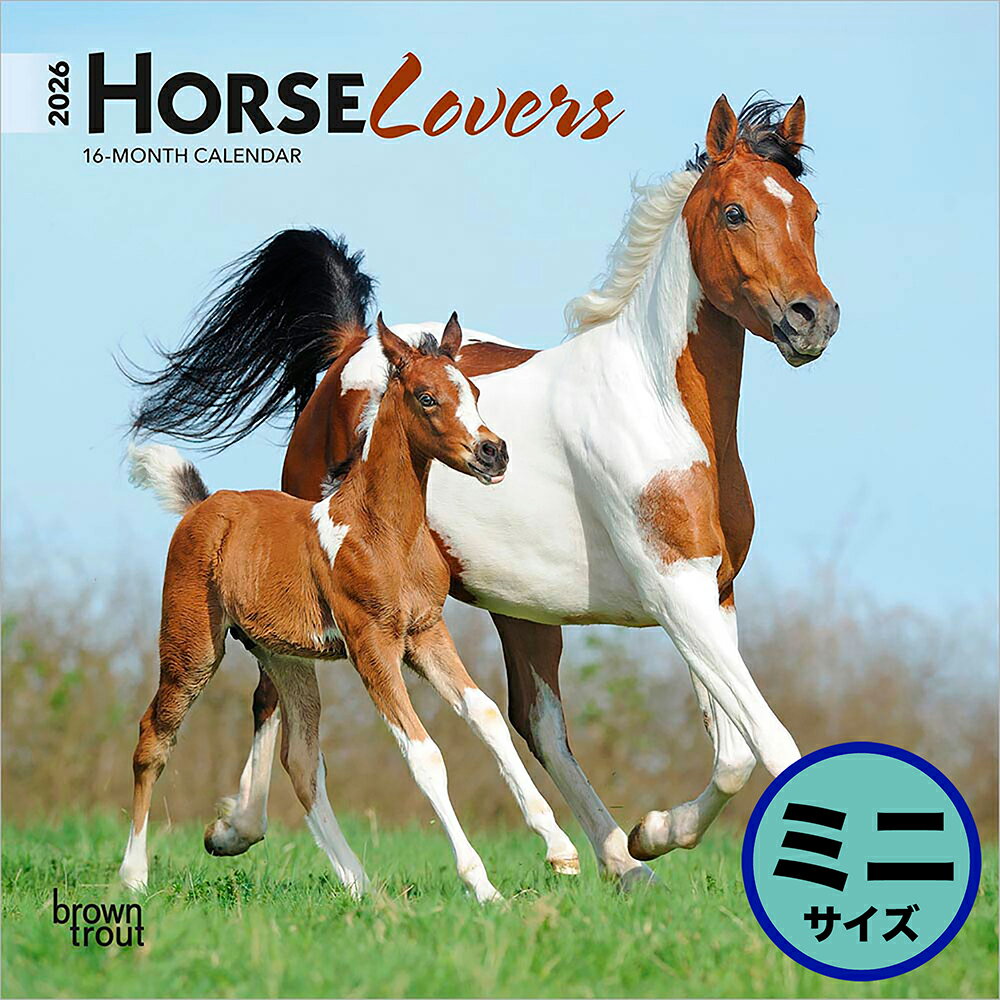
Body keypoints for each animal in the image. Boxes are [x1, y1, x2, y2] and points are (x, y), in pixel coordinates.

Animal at [119, 315, 579, 902]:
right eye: (427, 397)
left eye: (474, 392)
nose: (492, 453)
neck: (383, 531)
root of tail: (204, 506)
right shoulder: (371, 644)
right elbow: (424, 754)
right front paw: (483, 887)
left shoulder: (425, 633)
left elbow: (487, 715)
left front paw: (560, 849)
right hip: (193, 645)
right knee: (154, 737)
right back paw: (133, 877)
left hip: (285, 658)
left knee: (301, 761)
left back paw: (361, 885)